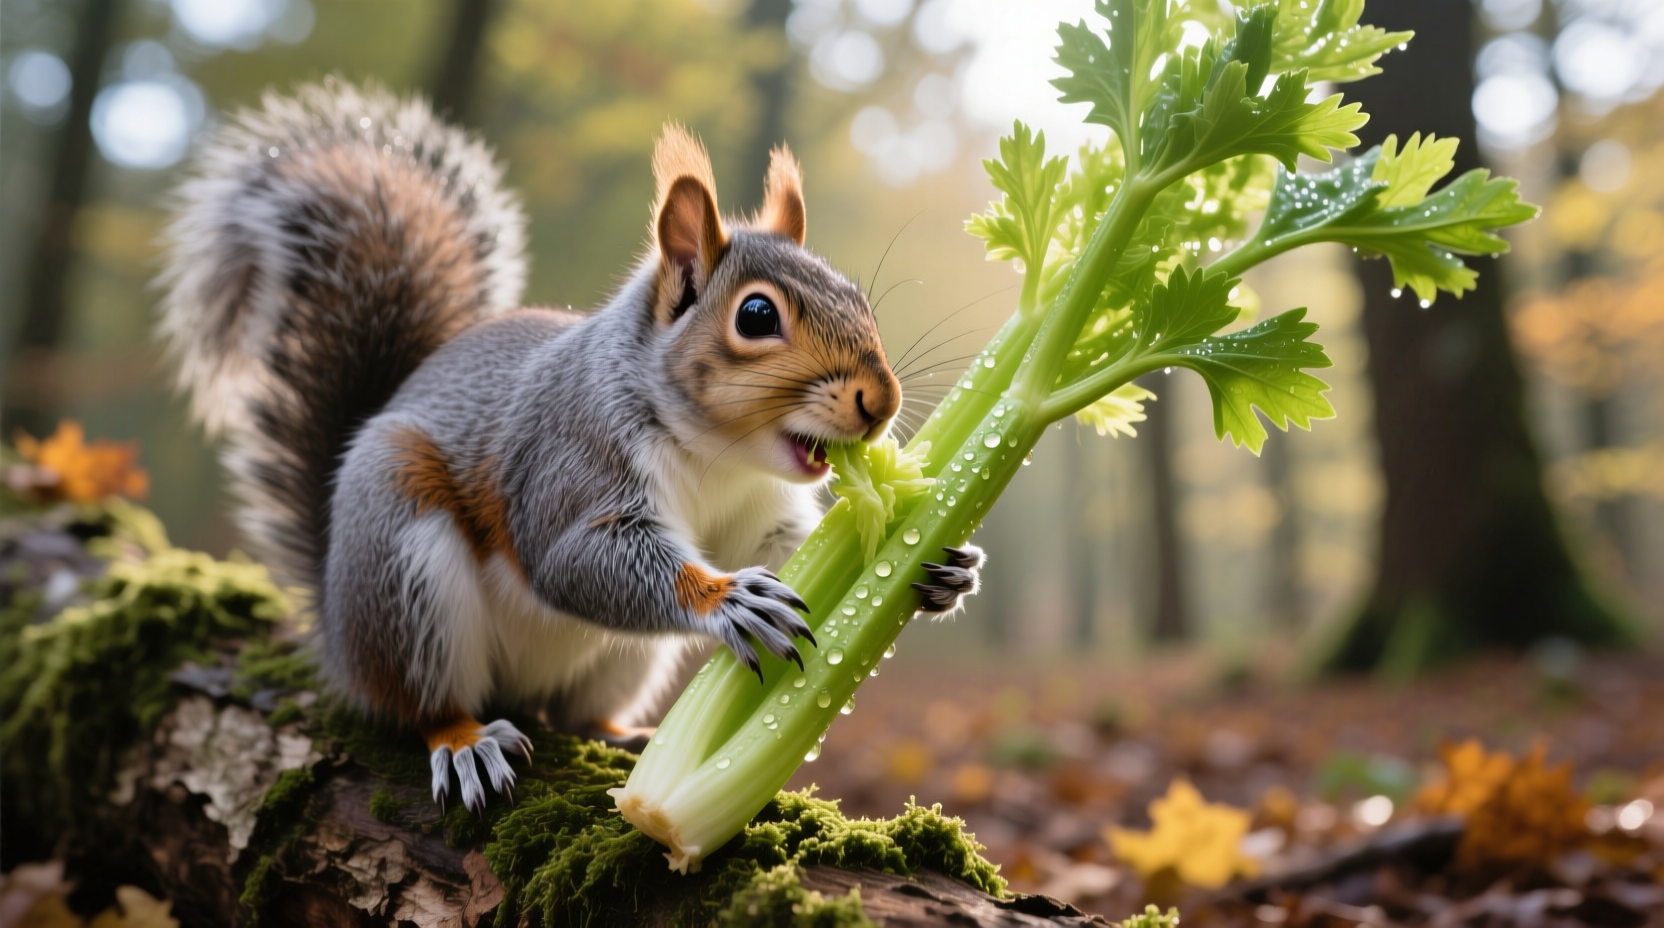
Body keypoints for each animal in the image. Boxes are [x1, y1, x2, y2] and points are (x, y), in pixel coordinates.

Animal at [157, 81, 982, 813]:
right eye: (755, 316)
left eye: (858, 296)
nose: (882, 403)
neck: (716, 456)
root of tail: (334, 627)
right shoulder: (572, 458)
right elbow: (573, 559)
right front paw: (727, 599)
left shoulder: (754, 514)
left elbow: (786, 550)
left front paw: (944, 565)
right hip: (401, 567)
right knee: (421, 701)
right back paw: (464, 741)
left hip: (626, 658)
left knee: (576, 712)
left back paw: (621, 736)